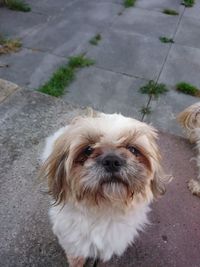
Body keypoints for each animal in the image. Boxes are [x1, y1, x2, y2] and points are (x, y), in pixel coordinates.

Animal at [40, 111, 169, 267]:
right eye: (88, 150)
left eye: (133, 149)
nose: (112, 161)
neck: (105, 210)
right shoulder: (71, 239)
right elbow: (76, 254)